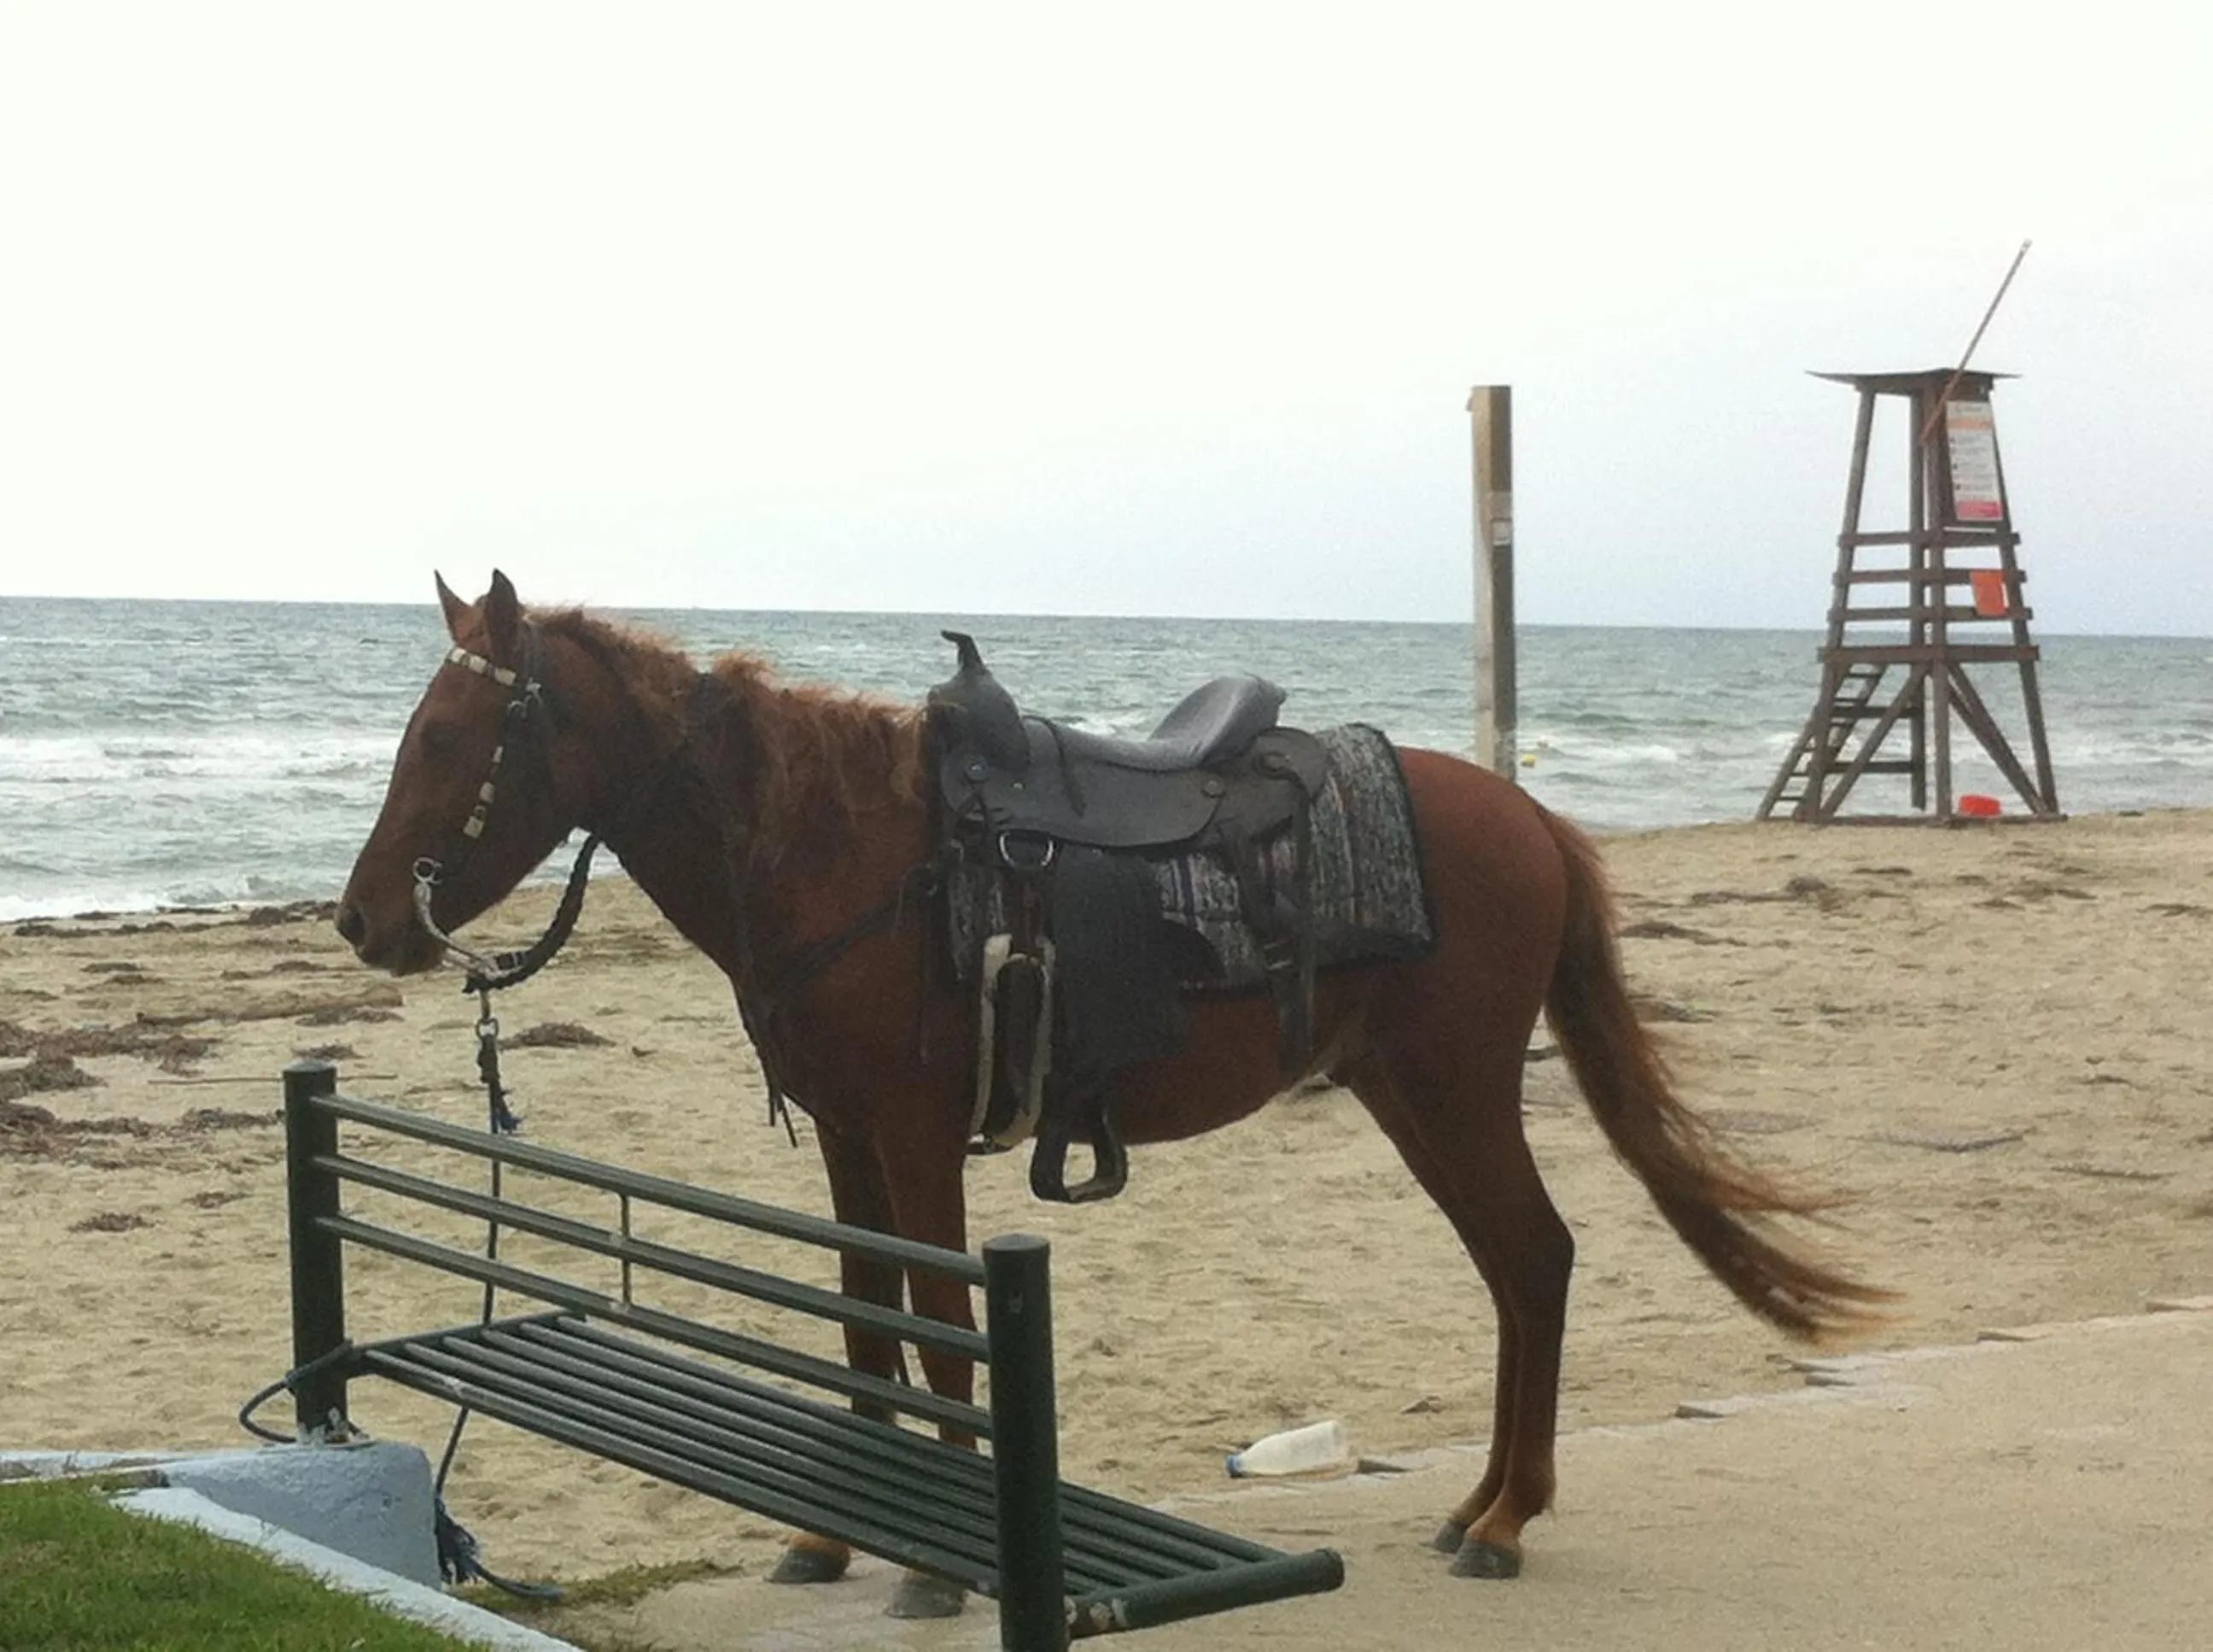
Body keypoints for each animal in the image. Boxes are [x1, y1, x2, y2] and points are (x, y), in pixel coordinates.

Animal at [336, 571, 1885, 1608]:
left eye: (450, 740)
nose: (362, 921)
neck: (848, 855)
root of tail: (1536, 820)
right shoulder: (845, 1139)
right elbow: (865, 1325)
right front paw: (832, 1535)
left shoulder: (915, 1138)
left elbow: (948, 1335)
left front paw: (936, 1567)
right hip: (1408, 1093)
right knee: (1518, 1268)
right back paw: (1488, 1508)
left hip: (1451, 1091)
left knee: (1538, 1258)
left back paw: (1506, 1521)